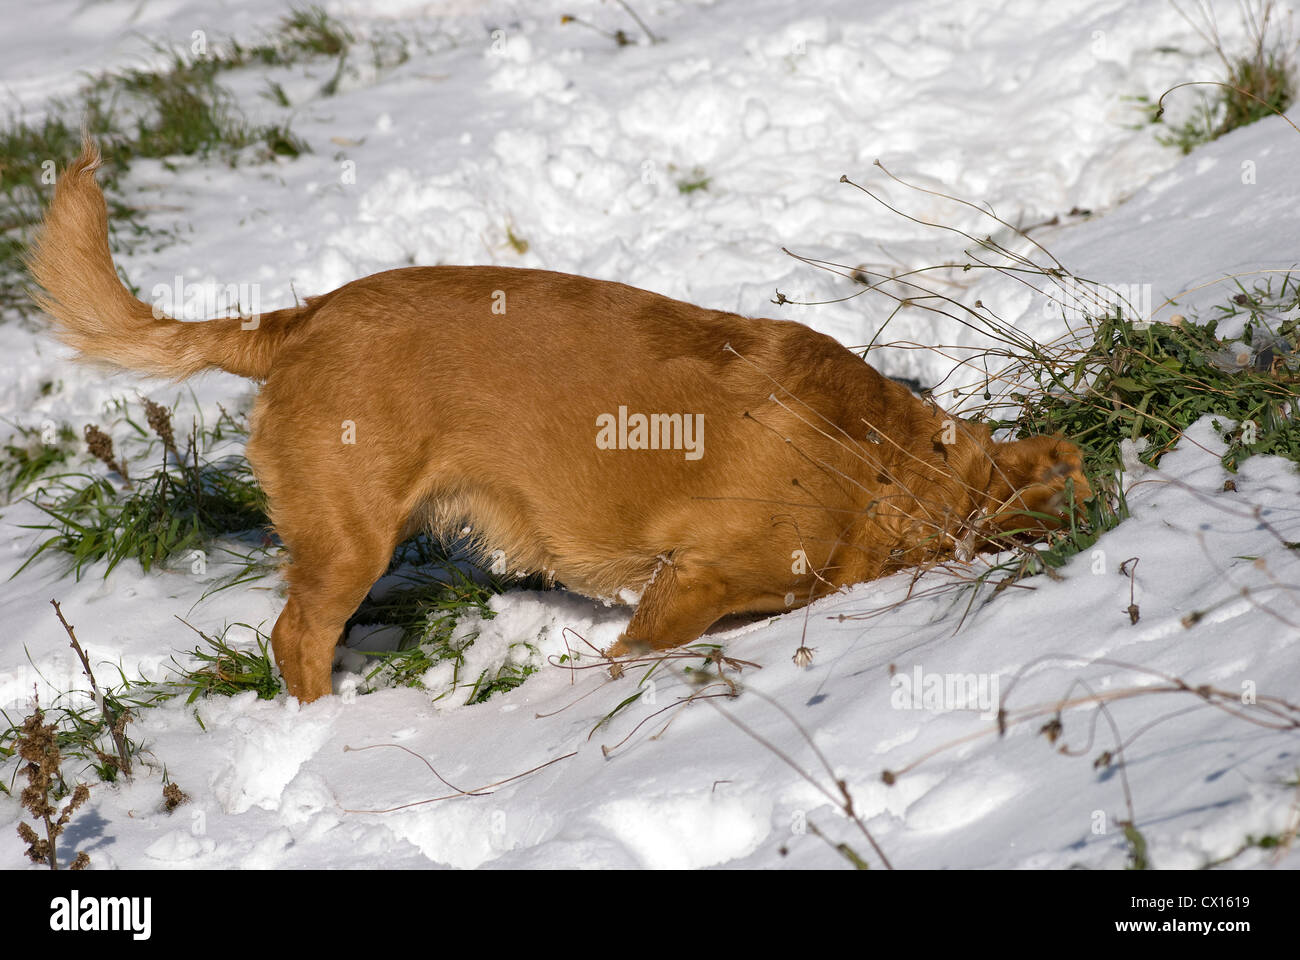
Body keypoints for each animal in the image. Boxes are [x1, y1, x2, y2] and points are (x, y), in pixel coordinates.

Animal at [27, 140, 1086, 697]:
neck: (884, 466)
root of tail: (296, 320)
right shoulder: (691, 581)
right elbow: (645, 644)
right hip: (349, 540)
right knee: (295, 640)